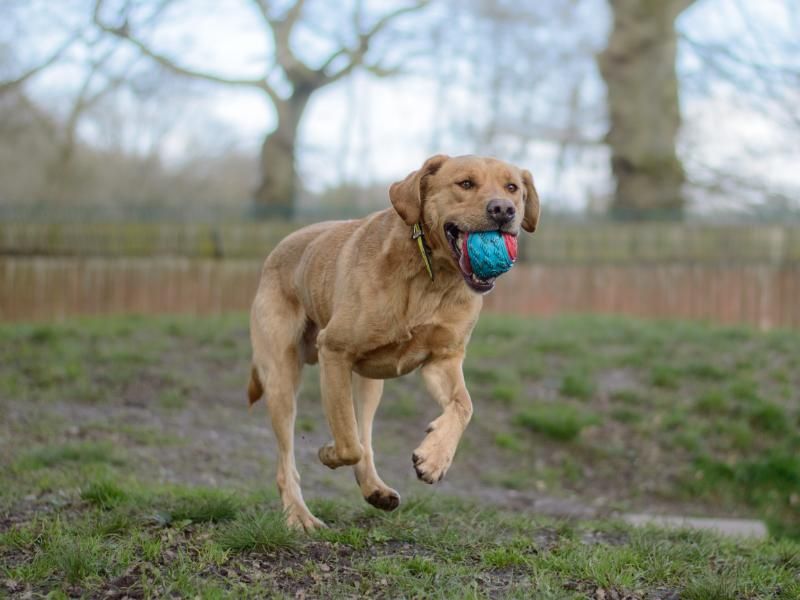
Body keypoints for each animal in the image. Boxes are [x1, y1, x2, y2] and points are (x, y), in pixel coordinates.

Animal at [247, 155, 540, 528]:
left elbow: (464, 405)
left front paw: (435, 458)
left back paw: (374, 488)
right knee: (291, 460)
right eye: (465, 184)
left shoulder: (442, 360)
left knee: (365, 436)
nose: (503, 209)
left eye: (512, 187)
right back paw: (299, 515)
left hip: (369, 383)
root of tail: (278, 249)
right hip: (282, 378)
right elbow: (347, 443)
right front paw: (329, 453)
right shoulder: (335, 352)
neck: (434, 277)